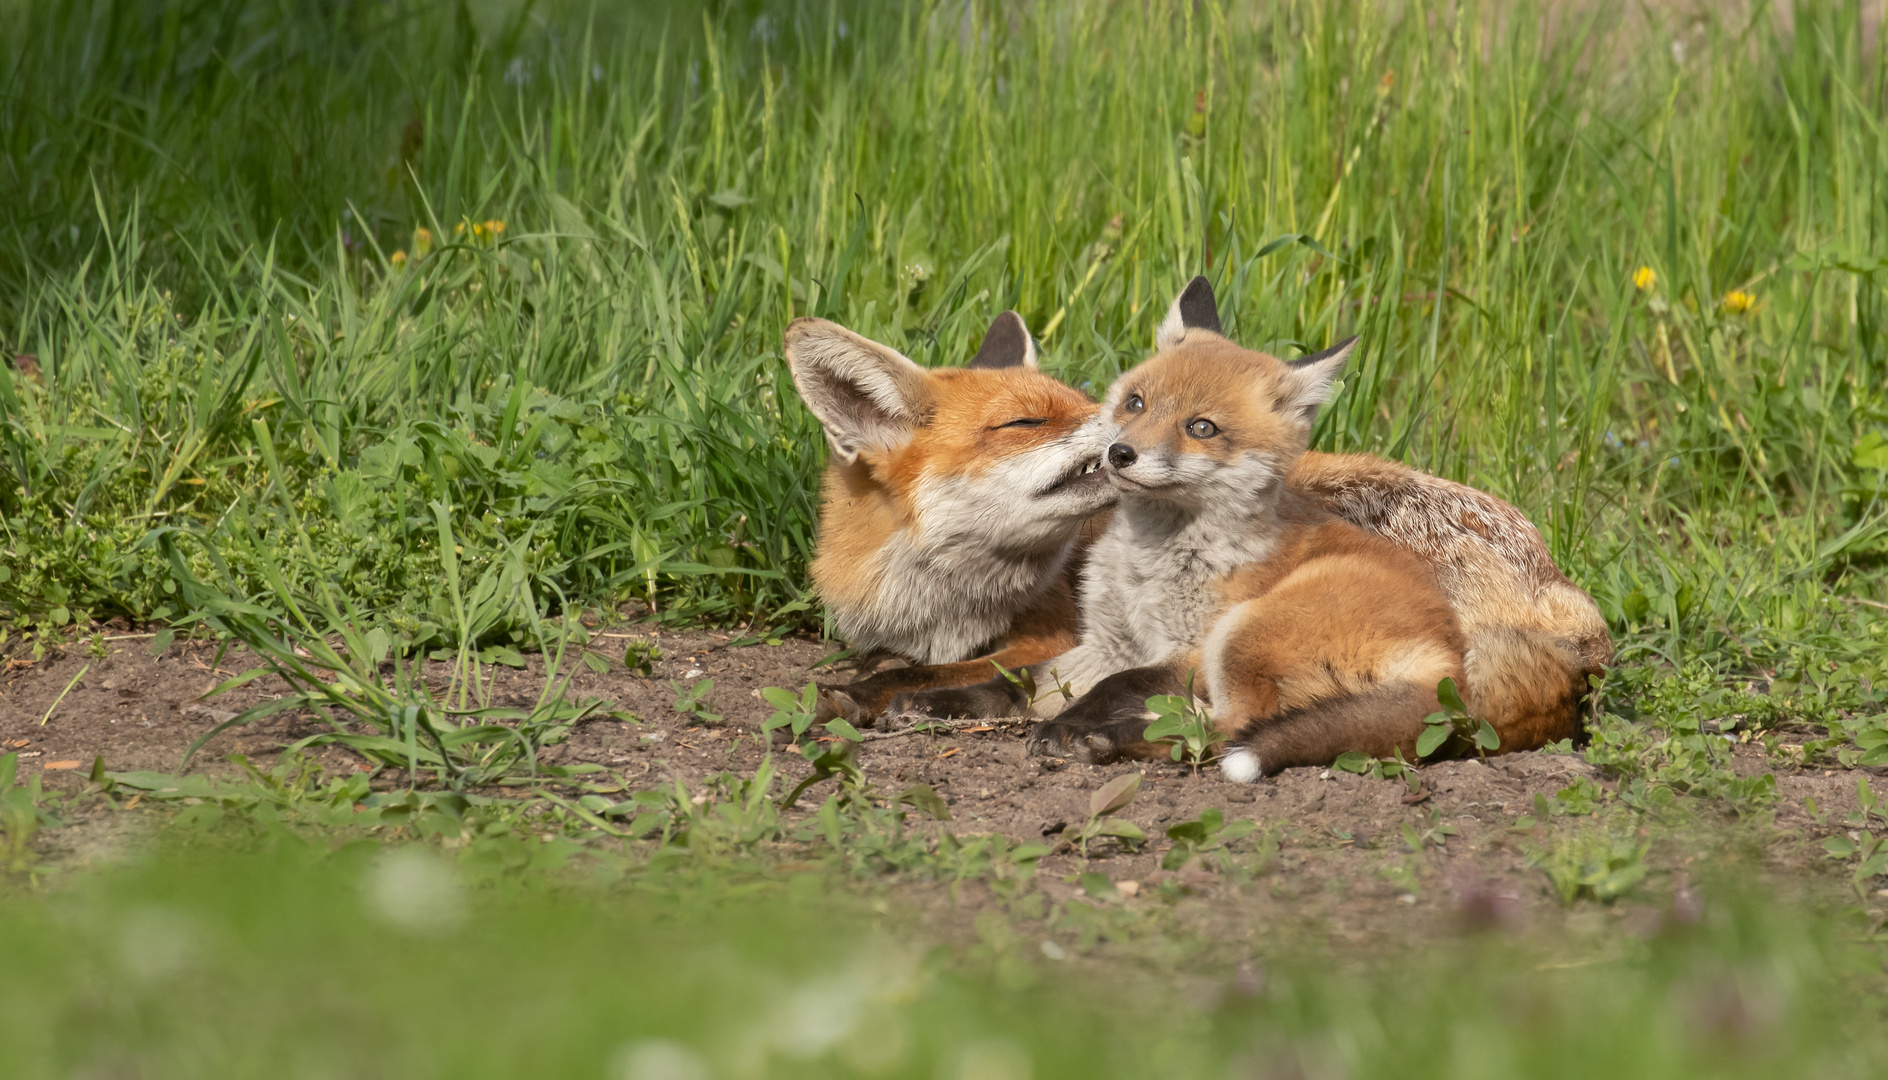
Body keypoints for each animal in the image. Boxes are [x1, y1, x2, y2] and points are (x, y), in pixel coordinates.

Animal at [781, 281, 1608, 766]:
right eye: (1025, 421)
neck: (942, 596)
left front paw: (882, 691)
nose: (1118, 435)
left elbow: (962, 670)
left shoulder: (1057, 635)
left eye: (1086, 398)